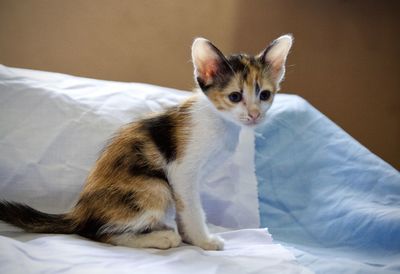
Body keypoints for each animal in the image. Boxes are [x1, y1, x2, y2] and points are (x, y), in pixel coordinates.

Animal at [0, 34, 292, 250]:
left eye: (265, 95)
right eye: (234, 96)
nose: (254, 115)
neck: (219, 121)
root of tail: (78, 211)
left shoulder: (185, 180)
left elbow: (185, 209)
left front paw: (190, 238)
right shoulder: (181, 171)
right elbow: (193, 208)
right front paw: (203, 241)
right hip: (155, 187)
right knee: (98, 233)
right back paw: (161, 238)